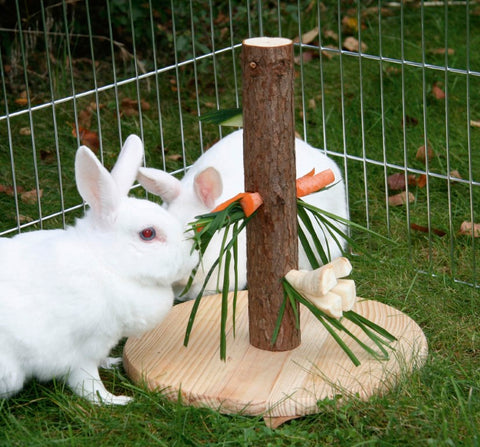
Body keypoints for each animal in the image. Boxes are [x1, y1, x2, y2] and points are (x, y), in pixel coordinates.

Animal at [0, 135, 197, 404]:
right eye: (148, 234)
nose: (191, 259)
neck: (106, 264)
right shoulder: (81, 352)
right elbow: (88, 384)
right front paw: (117, 400)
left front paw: (112, 362)